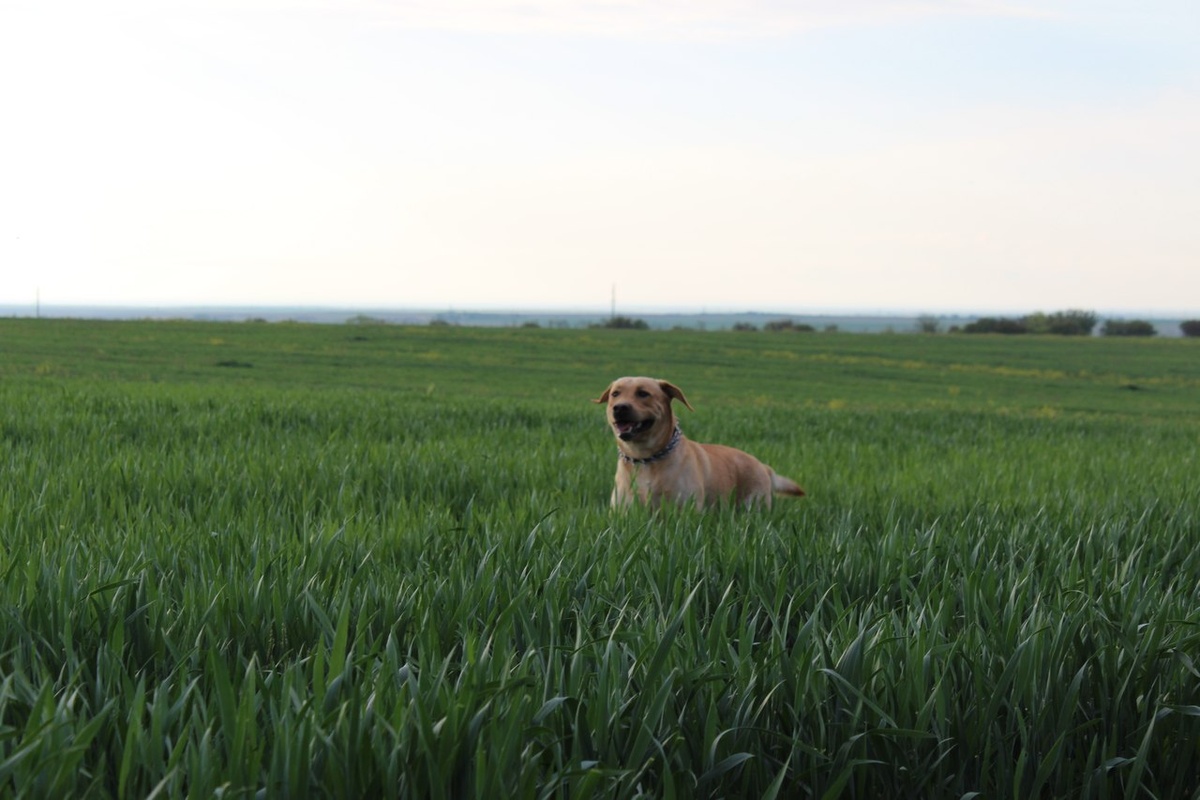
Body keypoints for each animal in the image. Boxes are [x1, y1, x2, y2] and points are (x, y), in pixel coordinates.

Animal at [592, 376, 806, 513]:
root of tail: (764, 467)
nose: (619, 408)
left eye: (643, 393)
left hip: (754, 505)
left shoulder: (685, 510)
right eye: (615, 394)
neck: (646, 458)